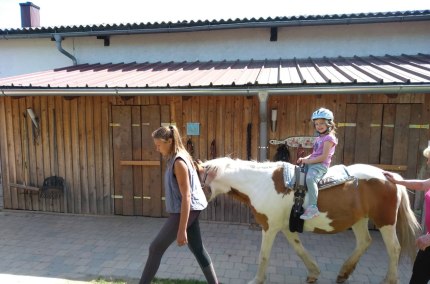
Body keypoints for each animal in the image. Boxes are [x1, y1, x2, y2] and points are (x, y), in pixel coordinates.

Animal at [197, 158, 422, 284]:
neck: (260, 183)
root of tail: (387, 175)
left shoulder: (269, 228)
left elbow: (263, 256)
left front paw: (257, 280)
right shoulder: (286, 227)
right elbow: (299, 249)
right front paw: (313, 273)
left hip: (385, 222)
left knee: (394, 249)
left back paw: (390, 280)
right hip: (359, 220)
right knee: (364, 242)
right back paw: (343, 273)